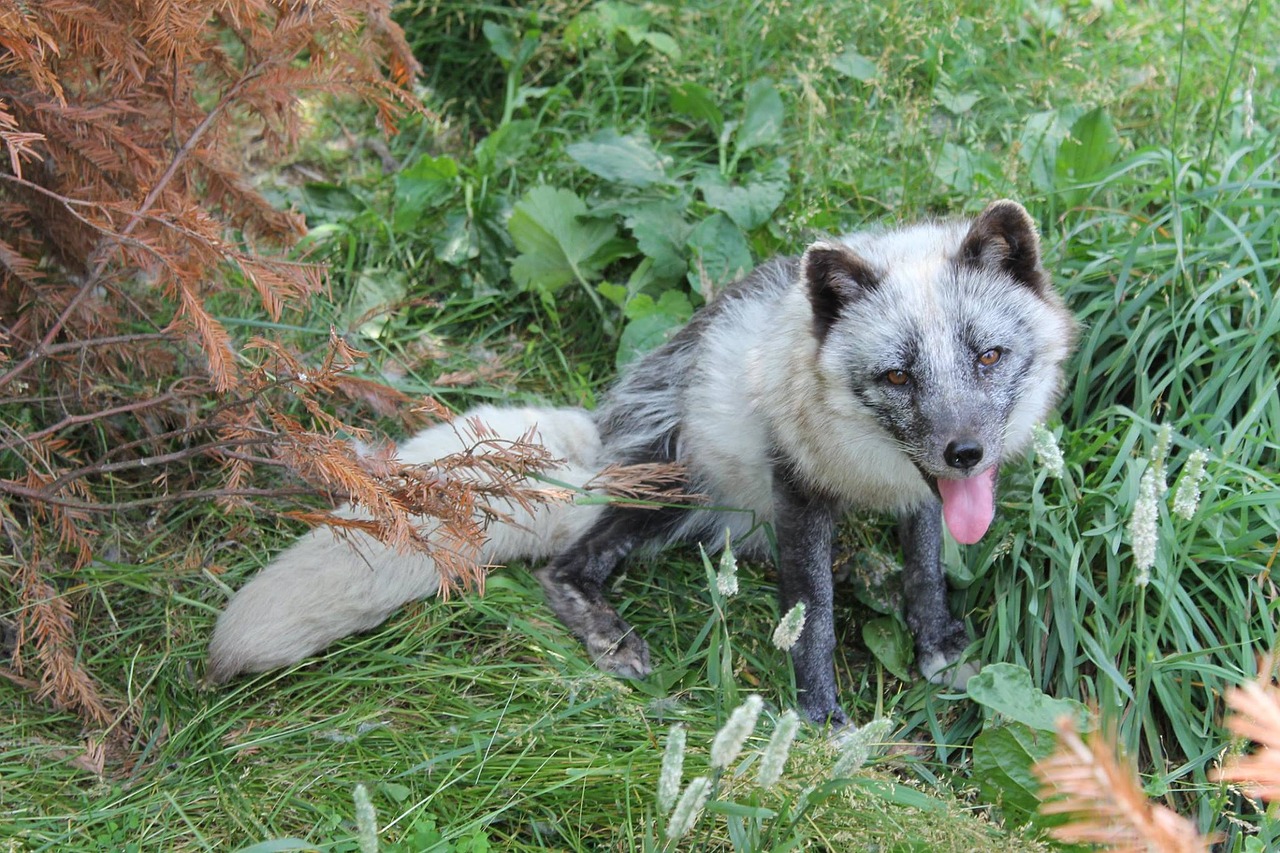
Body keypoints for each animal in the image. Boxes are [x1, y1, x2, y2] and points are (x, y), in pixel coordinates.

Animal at [209, 199, 1080, 722]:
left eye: (989, 355)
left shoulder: (923, 494)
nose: (965, 450)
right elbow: (813, 615)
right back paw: (608, 635)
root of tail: (603, 436)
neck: (871, 464)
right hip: (676, 481)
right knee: (566, 565)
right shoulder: (795, 484)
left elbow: (927, 566)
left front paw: (935, 642)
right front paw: (819, 714)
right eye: (897, 375)